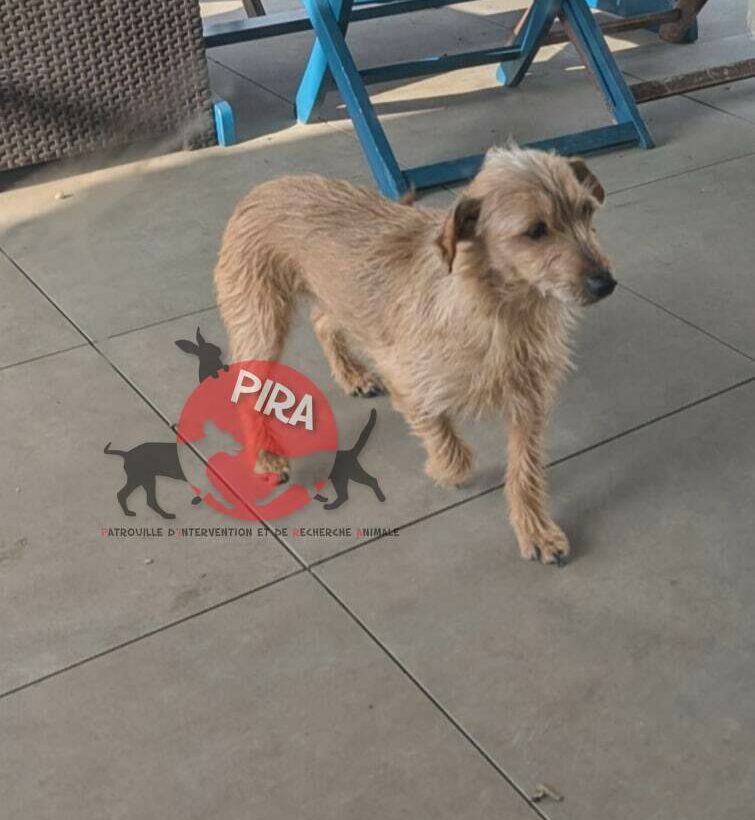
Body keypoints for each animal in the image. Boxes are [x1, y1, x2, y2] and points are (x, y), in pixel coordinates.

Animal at [214, 146, 614, 564]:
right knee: (246, 388)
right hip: (261, 323)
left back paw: (352, 374)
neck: (495, 307)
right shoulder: (406, 378)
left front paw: (536, 530)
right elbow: (452, 450)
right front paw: (444, 470)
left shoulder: (530, 401)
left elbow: (525, 468)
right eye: (535, 231)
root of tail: (266, 187)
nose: (605, 282)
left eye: (586, 212)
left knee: (323, 319)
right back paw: (267, 456)